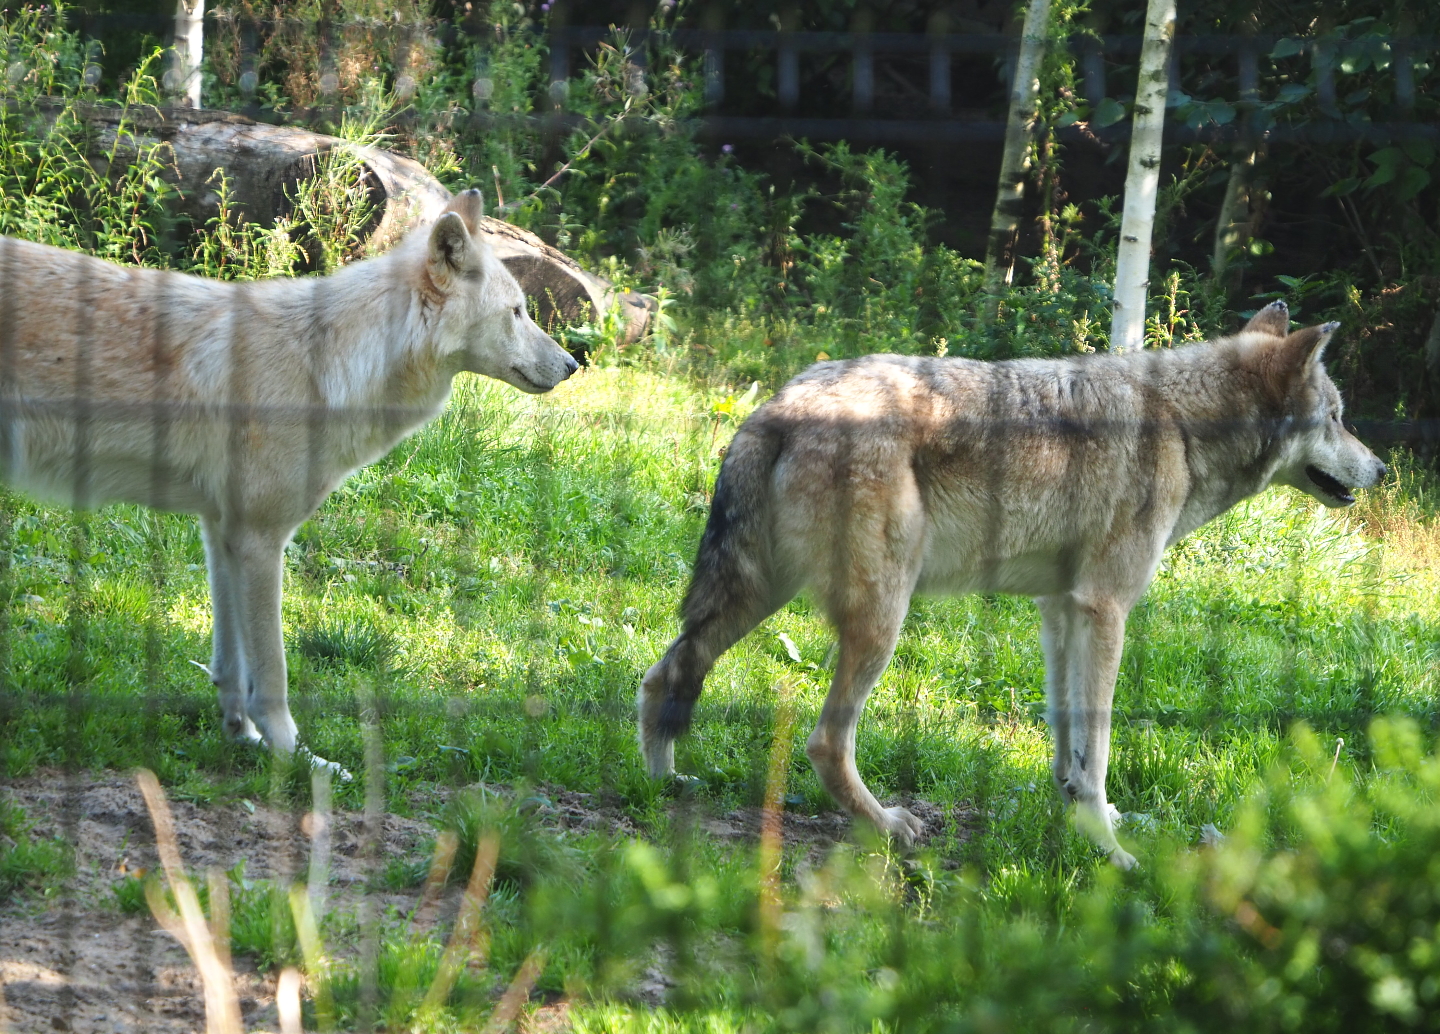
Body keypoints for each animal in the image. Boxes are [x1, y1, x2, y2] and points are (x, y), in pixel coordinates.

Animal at [0, 189, 577, 757]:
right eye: (517, 313)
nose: (574, 366)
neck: (326, 367)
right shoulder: (259, 540)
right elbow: (272, 672)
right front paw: (293, 757)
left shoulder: (221, 532)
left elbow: (231, 666)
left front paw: (243, 738)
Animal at [639, 301, 1385, 867]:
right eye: (1338, 417)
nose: (1382, 470)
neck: (1179, 426)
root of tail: (779, 404)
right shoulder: (1106, 610)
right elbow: (1099, 748)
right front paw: (1109, 852)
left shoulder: (1062, 611)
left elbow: (1069, 739)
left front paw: (1076, 813)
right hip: (879, 620)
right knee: (823, 743)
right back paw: (888, 826)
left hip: (757, 597)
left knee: (666, 672)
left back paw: (663, 784)